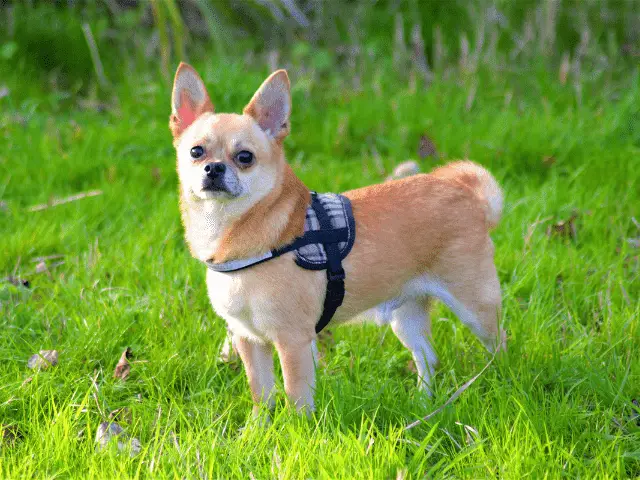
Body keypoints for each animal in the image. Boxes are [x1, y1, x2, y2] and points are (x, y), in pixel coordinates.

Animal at [169, 62, 504, 416]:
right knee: (427, 356)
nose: (214, 168)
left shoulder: (293, 341)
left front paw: (297, 428)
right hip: (407, 315)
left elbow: (297, 397)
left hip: (476, 308)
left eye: (245, 157)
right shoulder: (250, 339)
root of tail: (468, 194)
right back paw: (424, 403)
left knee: (499, 344)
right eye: (196, 152)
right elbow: (262, 393)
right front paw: (257, 427)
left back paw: (500, 379)